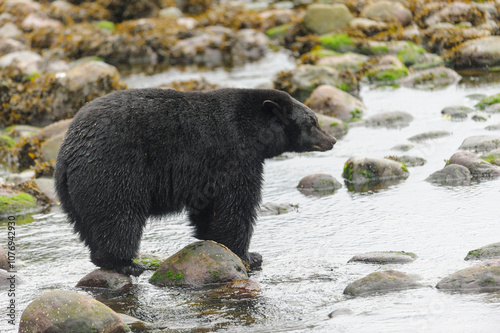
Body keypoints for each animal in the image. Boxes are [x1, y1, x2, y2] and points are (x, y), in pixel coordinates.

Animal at [53, 87, 336, 274]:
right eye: (312, 122)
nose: (332, 140)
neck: (251, 130)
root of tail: (68, 153)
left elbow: (209, 208)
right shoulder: (233, 156)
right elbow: (235, 204)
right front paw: (249, 255)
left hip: (72, 194)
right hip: (113, 173)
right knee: (119, 218)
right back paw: (128, 264)